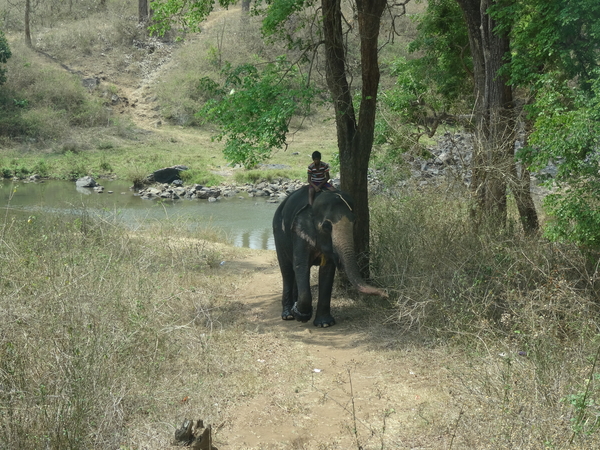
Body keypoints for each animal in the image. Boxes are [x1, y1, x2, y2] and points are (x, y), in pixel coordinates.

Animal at [274, 185, 390, 328]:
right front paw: (301, 315)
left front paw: (325, 324)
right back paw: (288, 315)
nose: (386, 294)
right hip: (278, 233)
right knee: (287, 270)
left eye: (355, 221)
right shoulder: (299, 234)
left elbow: (327, 270)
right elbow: (301, 265)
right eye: (326, 226)